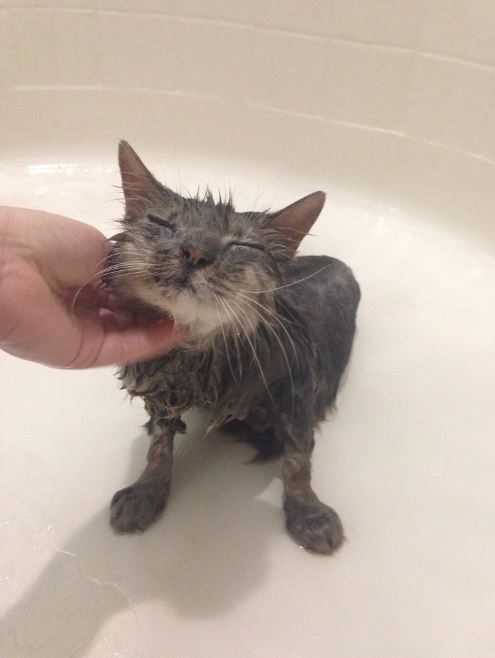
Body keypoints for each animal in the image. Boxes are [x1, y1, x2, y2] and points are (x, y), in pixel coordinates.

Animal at [105, 141, 360, 552]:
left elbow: (297, 458)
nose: (195, 252)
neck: (198, 352)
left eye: (244, 244)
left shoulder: (299, 385)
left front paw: (309, 514)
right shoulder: (163, 387)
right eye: (163, 223)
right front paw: (146, 491)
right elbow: (160, 442)